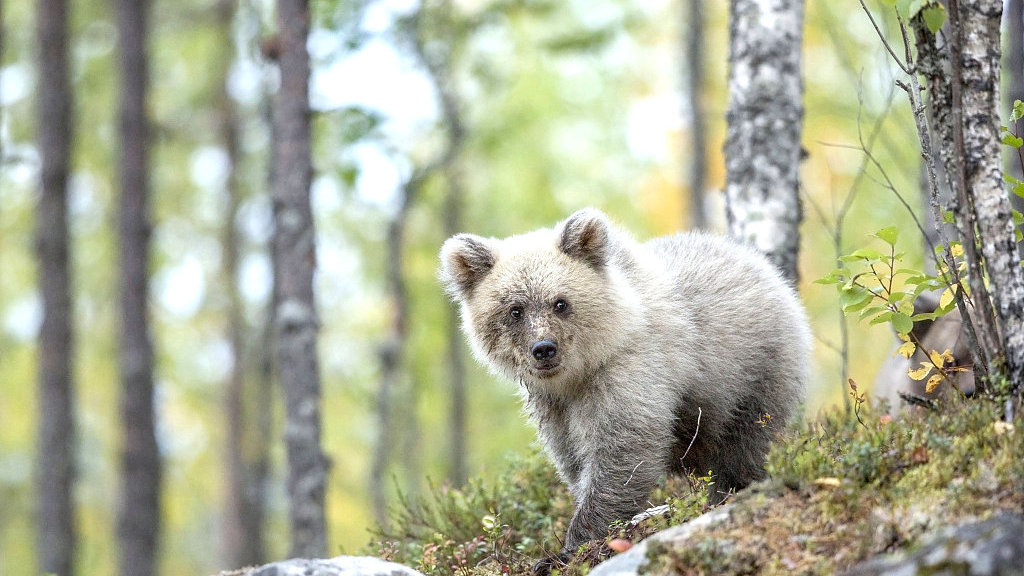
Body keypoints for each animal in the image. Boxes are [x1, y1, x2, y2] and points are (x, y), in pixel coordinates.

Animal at [438, 208, 806, 557]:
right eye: (515, 309)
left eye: (560, 302)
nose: (544, 349)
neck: (579, 375)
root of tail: (764, 267)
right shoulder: (553, 408)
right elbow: (573, 459)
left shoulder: (630, 375)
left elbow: (621, 453)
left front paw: (573, 545)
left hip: (753, 372)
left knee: (745, 443)